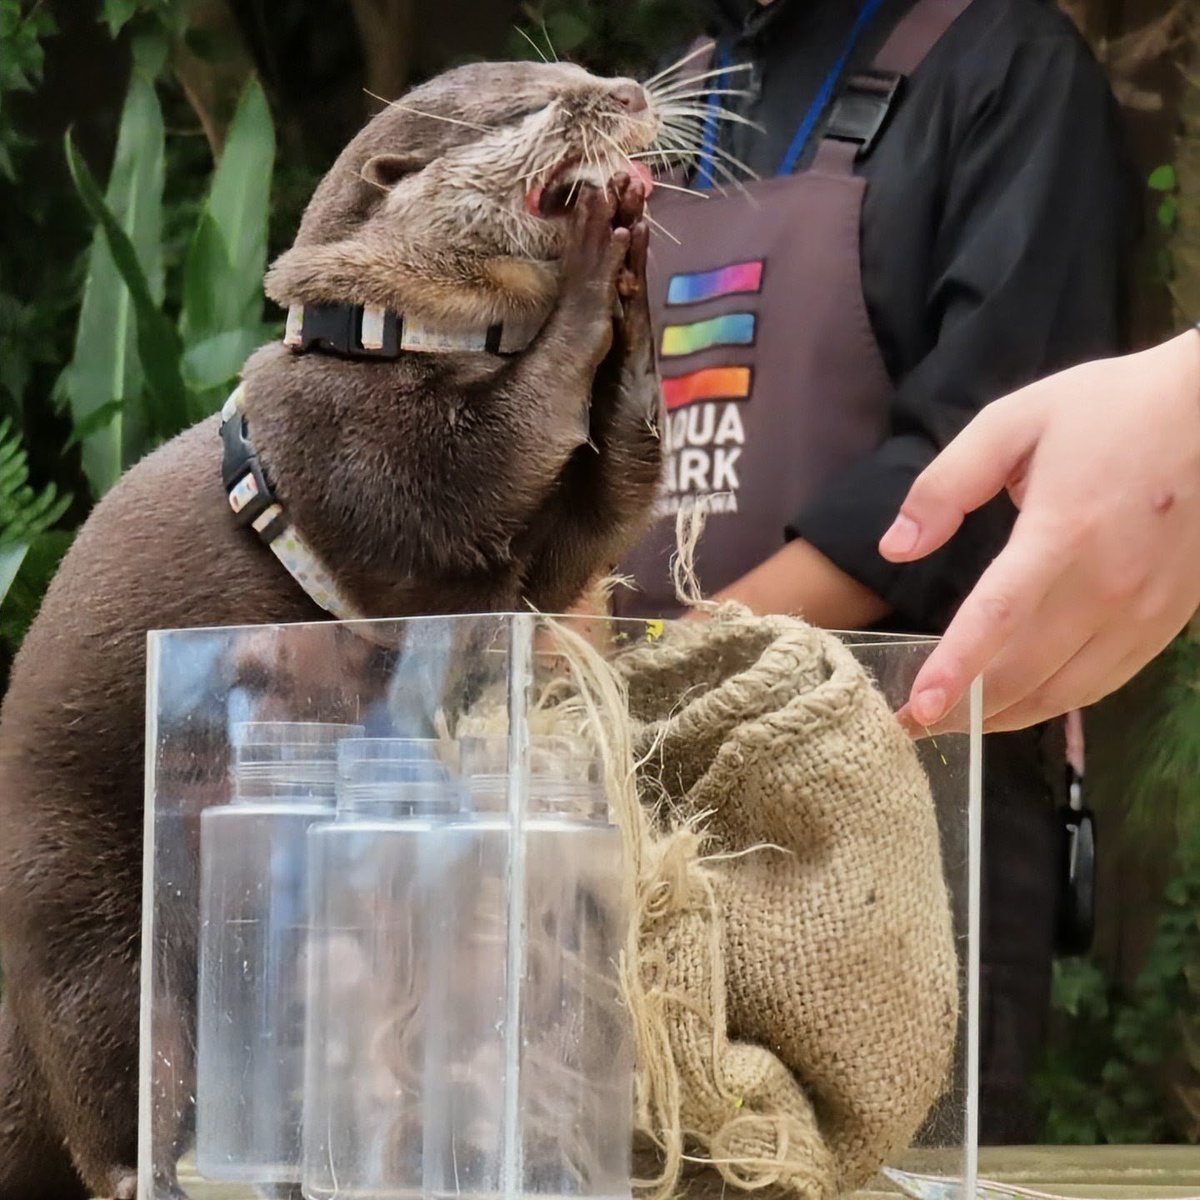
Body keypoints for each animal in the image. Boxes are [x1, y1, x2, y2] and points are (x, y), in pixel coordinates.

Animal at [0, 59, 664, 1200]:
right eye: (530, 103)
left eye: (577, 75)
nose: (622, 88)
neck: (390, 337)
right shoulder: (361, 450)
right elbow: (502, 441)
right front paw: (593, 269)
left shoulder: (543, 565)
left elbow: (597, 504)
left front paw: (638, 279)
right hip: (71, 910)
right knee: (112, 1078)